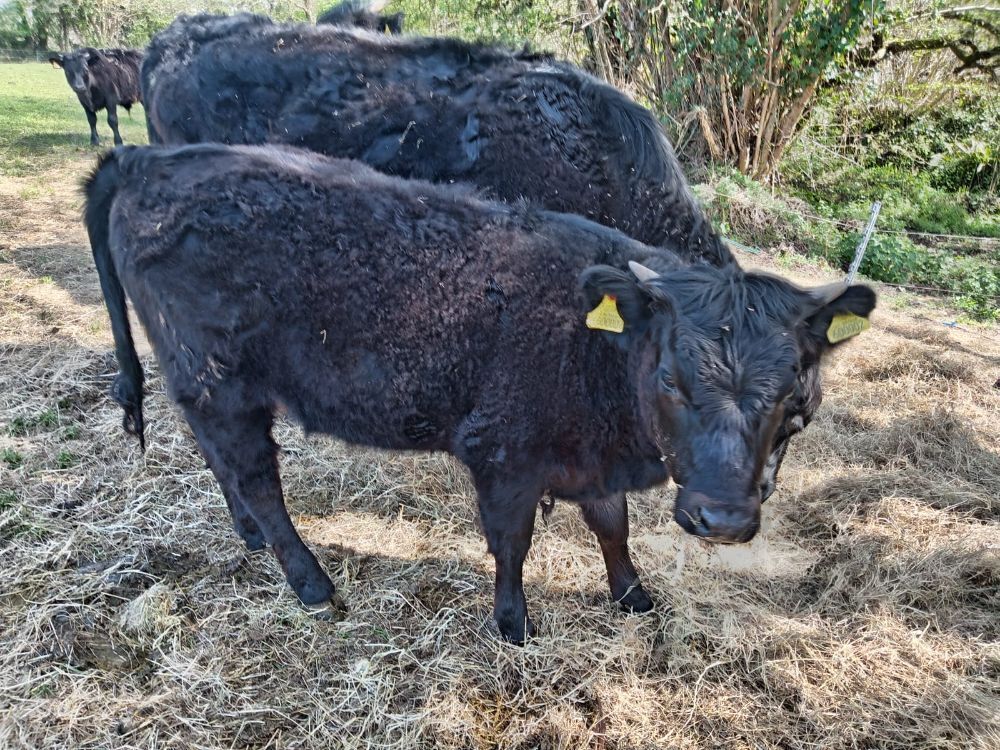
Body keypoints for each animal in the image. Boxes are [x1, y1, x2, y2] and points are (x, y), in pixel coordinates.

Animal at [84, 143, 876, 643]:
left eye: (793, 406)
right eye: (671, 380)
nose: (721, 519)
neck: (595, 348)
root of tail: (147, 158)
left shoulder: (590, 456)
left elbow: (612, 526)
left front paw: (633, 596)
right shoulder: (504, 453)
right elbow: (513, 543)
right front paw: (514, 625)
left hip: (203, 383)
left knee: (219, 460)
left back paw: (249, 537)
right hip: (219, 378)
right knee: (255, 476)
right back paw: (311, 583)